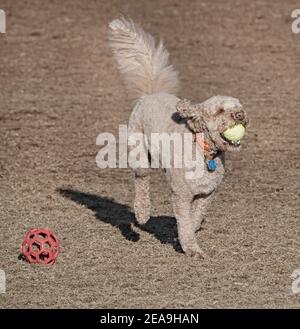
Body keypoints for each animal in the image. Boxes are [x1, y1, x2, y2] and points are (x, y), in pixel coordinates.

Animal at [108, 18, 248, 258]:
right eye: (220, 111)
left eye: (239, 107)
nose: (240, 115)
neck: (203, 150)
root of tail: (151, 94)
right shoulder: (181, 194)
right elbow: (184, 221)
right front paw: (192, 249)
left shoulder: (206, 194)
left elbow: (194, 218)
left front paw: (188, 234)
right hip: (139, 151)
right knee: (141, 180)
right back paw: (142, 213)